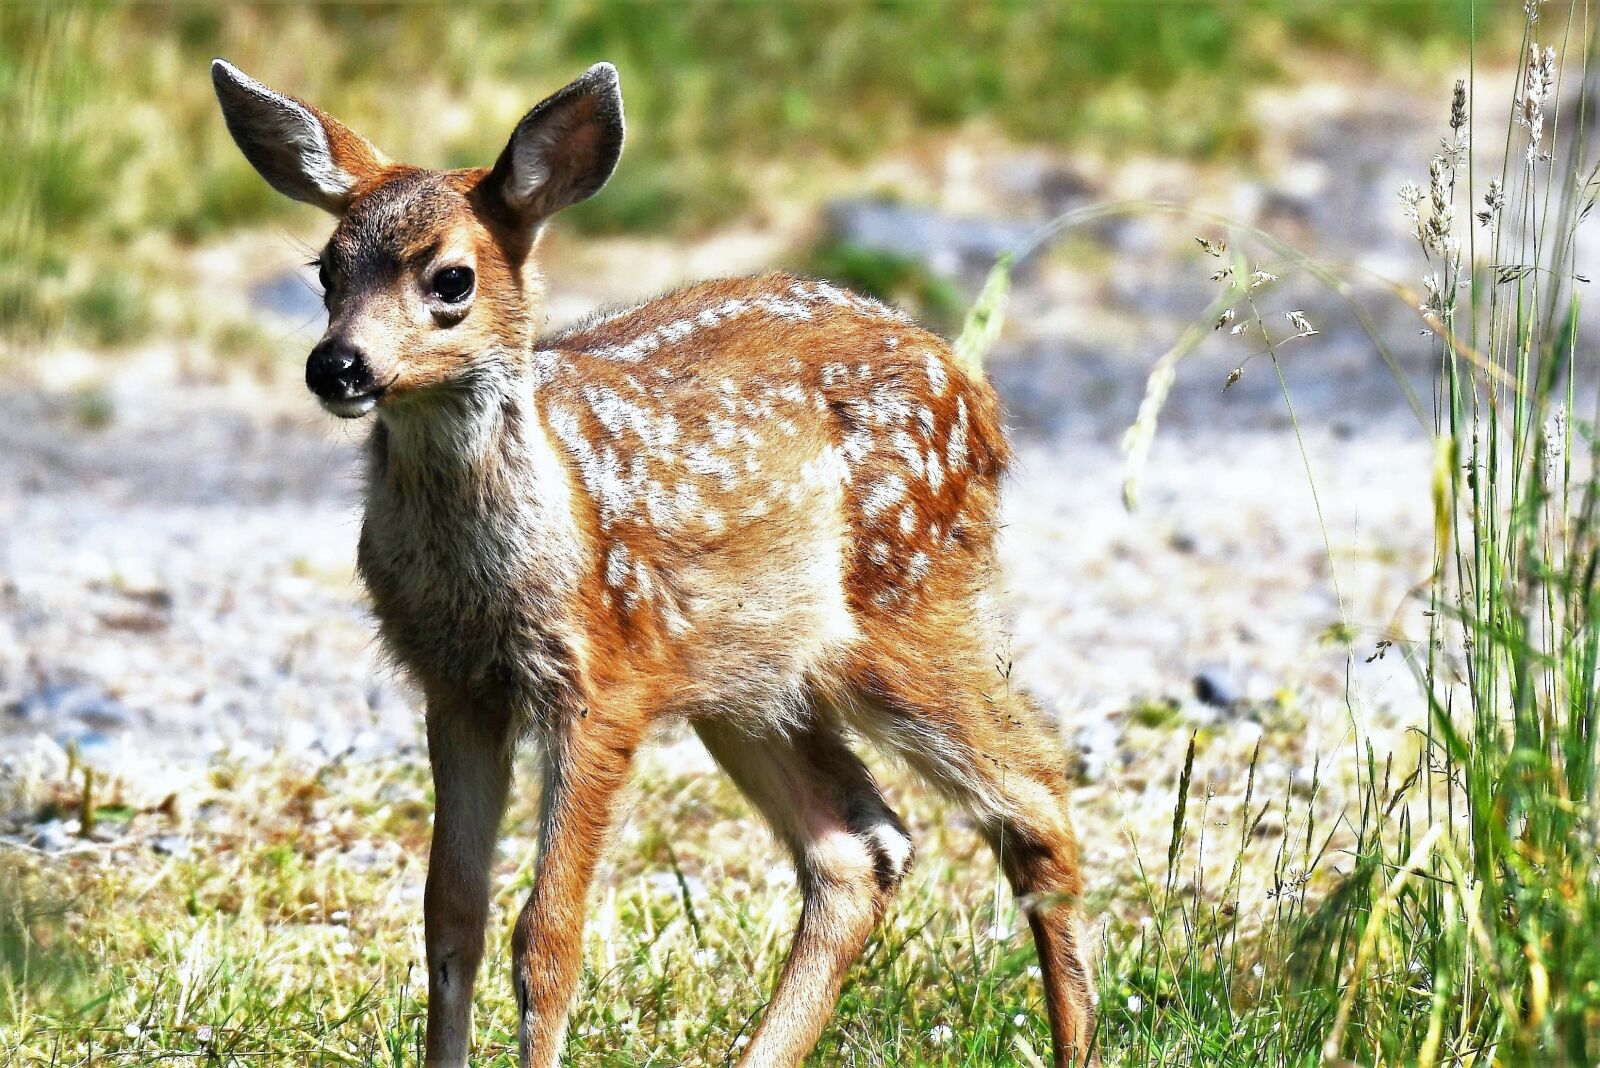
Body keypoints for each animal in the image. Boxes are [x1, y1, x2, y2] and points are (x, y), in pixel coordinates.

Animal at [211, 58, 1095, 1068]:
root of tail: (980, 398)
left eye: (451, 279)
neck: (495, 566)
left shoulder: (601, 681)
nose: (338, 366)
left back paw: (1076, 1041)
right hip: (750, 681)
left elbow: (546, 935)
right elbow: (451, 919)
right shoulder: (457, 684)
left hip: (908, 606)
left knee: (1035, 791)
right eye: (325, 270)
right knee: (859, 849)